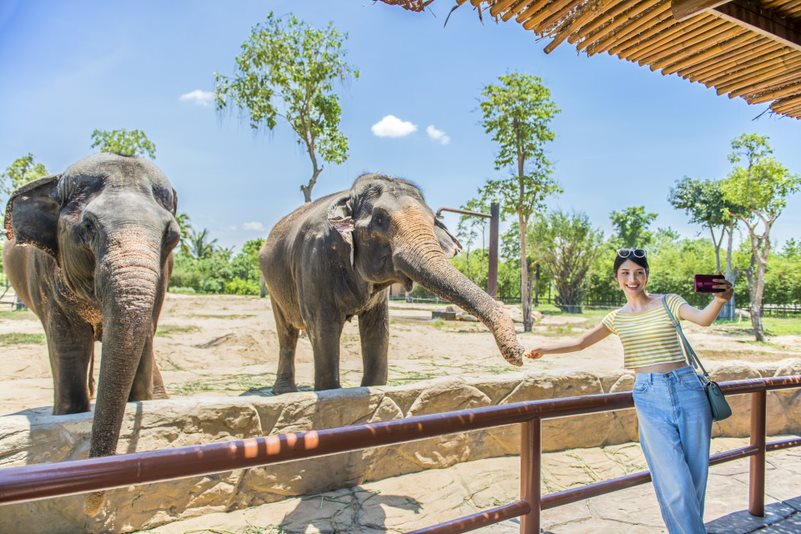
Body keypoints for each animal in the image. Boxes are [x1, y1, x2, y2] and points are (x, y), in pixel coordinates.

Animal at [2, 153, 178, 466]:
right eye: (88, 226)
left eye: (172, 236)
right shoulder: (46, 278)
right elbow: (69, 344)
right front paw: (70, 412)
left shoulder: (163, 277)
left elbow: (145, 336)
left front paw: (144, 399)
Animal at [260, 174, 524, 396]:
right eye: (379, 219)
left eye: (433, 221)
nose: (520, 354)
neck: (349, 196)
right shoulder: (315, 261)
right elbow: (324, 330)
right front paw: (331, 393)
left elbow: (378, 331)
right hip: (273, 284)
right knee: (286, 331)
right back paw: (284, 392)